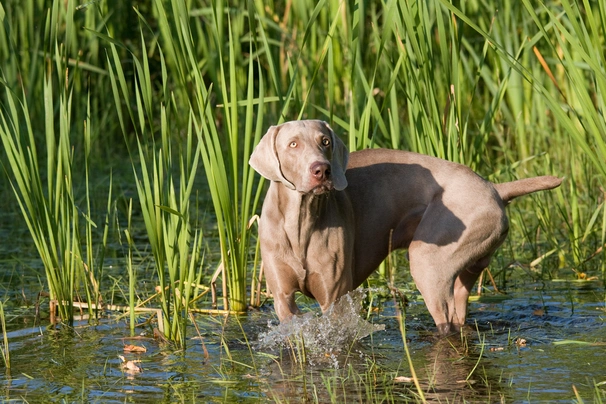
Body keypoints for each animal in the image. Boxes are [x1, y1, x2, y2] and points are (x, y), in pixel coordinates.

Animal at [249, 120, 564, 334]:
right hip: (468, 259)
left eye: (325, 141)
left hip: (429, 259)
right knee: (460, 305)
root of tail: (494, 187)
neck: (300, 221)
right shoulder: (283, 299)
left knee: (445, 318)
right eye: (293, 144)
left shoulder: (334, 298)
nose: (322, 170)